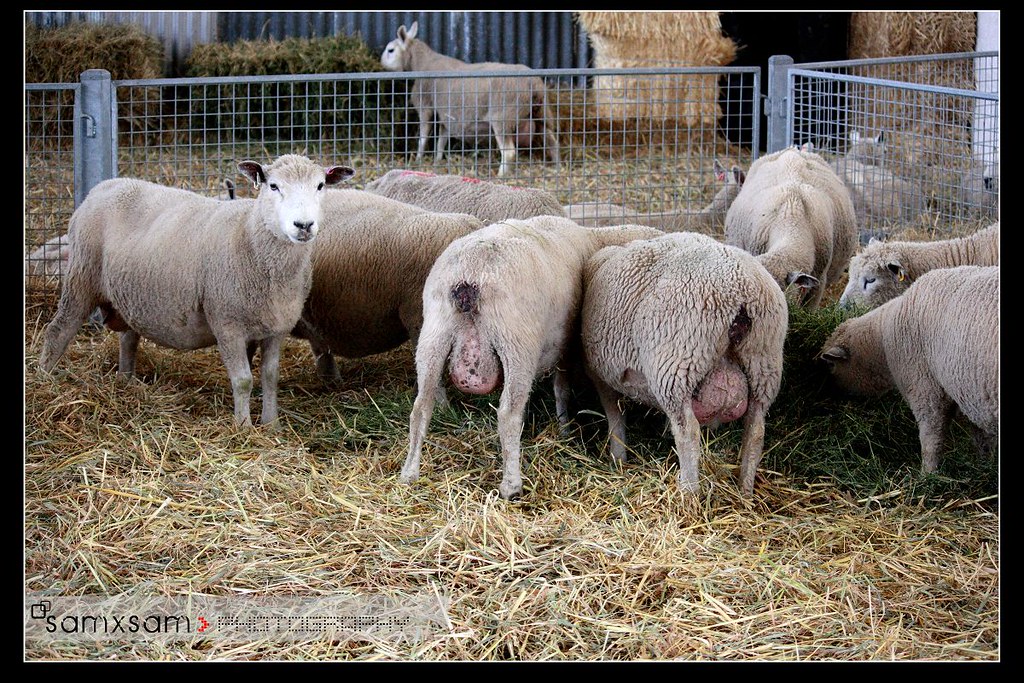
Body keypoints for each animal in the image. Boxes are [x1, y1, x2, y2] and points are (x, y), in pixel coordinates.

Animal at [37, 154, 355, 427]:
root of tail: (103, 186)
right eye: (273, 185)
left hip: (131, 295)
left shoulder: (276, 327)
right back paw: (45, 379)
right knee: (58, 331)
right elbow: (243, 380)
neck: (250, 238)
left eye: (320, 185)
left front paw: (271, 424)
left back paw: (125, 380)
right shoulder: (226, 322)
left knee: (128, 338)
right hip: (81, 278)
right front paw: (243, 427)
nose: (304, 225)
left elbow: (270, 377)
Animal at [380, 21, 560, 177]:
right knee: (552, 141)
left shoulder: (425, 105)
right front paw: (437, 160)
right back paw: (557, 167)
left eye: (391, 50)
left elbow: (423, 138)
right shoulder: (446, 113)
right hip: (542, 113)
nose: (381, 64)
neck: (421, 63)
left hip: (503, 117)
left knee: (509, 152)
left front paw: (417, 160)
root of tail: (533, 83)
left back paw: (500, 176)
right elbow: (441, 139)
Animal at [401, 216, 664, 499]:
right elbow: (562, 390)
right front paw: (564, 429)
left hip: (433, 334)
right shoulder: (567, 345)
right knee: (508, 414)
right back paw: (511, 485)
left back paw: (409, 473)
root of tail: (470, 275)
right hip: (517, 342)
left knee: (421, 408)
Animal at [580, 231, 788, 497]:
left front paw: (618, 459)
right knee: (755, 430)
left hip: (677, 364)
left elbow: (615, 418)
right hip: (764, 363)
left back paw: (688, 493)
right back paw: (745, 491)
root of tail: (741, 291)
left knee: (688, 432)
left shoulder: (601, 374)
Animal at [820, 264, 999, 475]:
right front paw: (983, 466)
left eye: (831, 365)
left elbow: (931, 439)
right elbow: (982, 439)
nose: (831, 392)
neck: (882, 342)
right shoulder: (972, 396)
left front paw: (927, 474)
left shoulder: (925, 389)